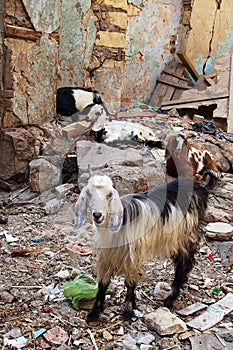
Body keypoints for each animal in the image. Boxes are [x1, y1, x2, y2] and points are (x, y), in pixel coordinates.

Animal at [73, 173, 208, 322]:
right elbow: (103, 282)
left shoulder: (133, 254)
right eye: (90, 194)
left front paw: (128, 310)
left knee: (184, 264)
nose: (97, 215)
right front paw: (94, 312)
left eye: (110, 195)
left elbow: (130, 282)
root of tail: (198, 188)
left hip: (185, 236)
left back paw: (170, 299)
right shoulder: (107, 254)